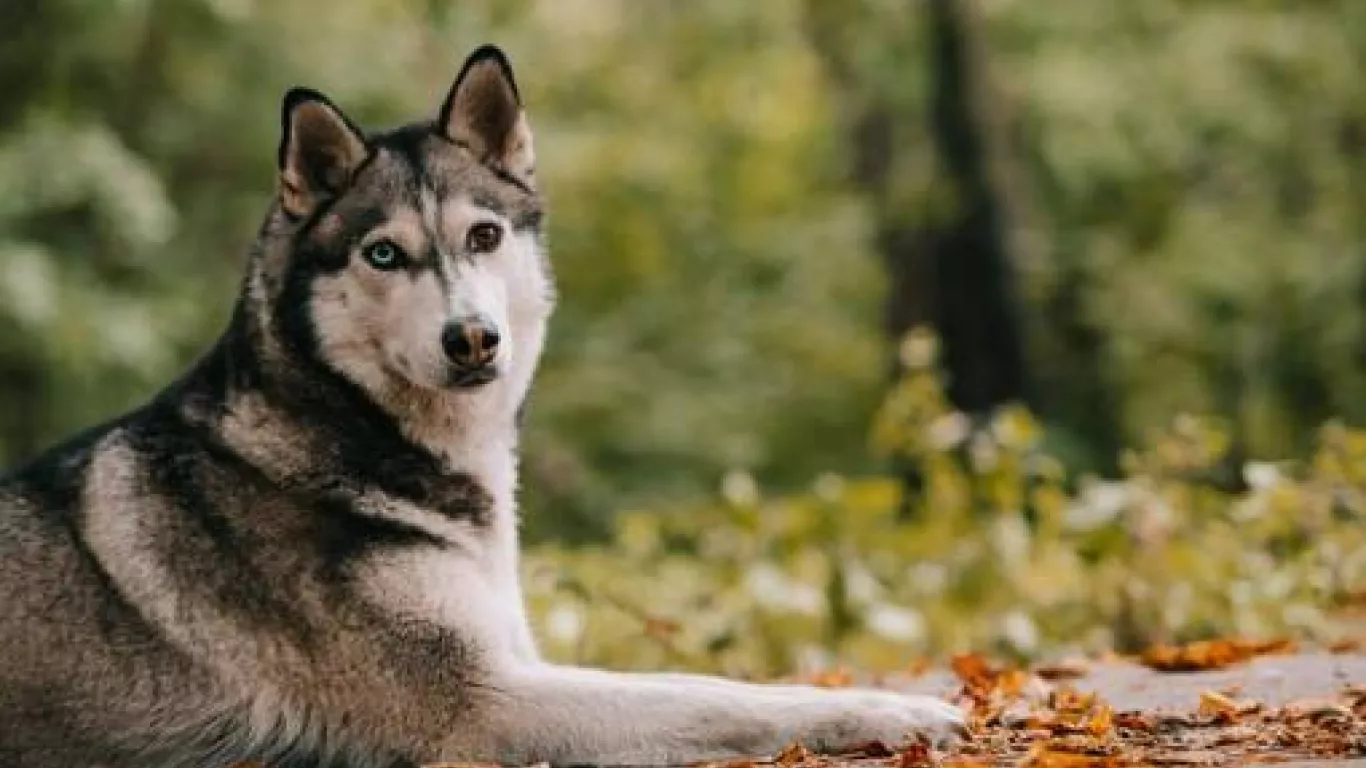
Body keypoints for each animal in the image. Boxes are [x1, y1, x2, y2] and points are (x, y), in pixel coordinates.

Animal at [0, 44, 961, 759]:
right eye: (384, 254)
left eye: (484, 235)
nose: (472, 339)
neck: (352, 435)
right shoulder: (485, 703)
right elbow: (723, 702)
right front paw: (891, 713)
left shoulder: (515, 658)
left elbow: (708, 681)